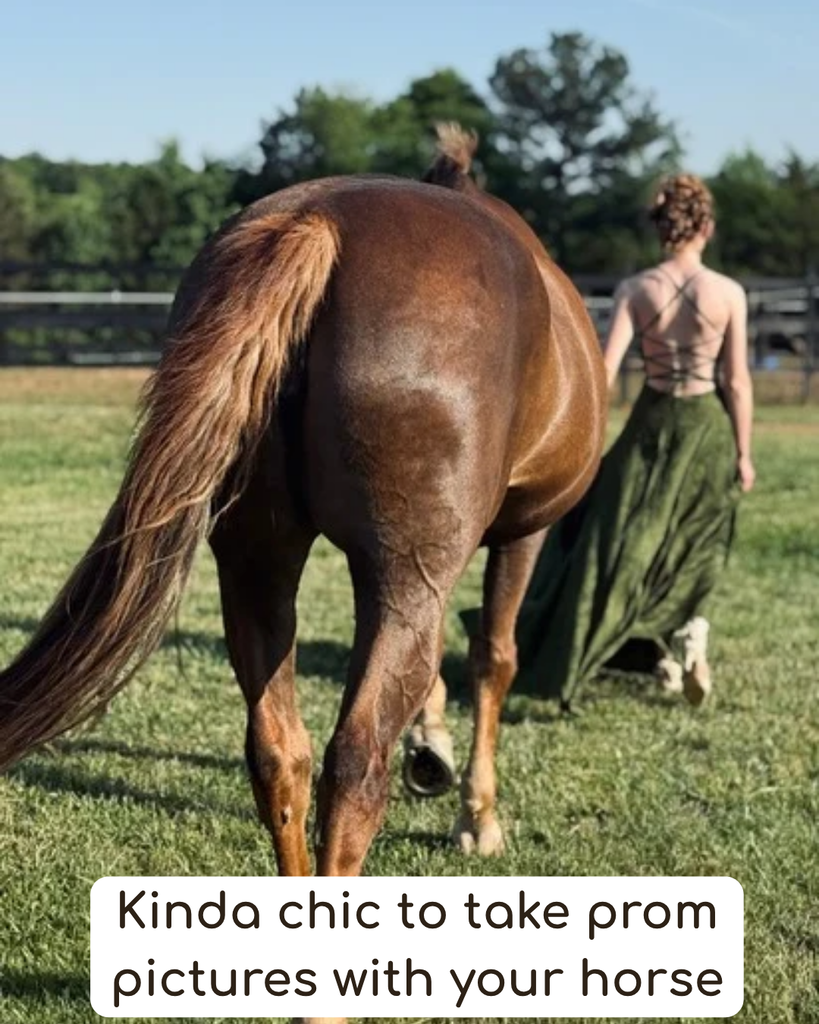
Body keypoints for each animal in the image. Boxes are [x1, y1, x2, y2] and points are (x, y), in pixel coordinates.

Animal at [0, 124, 606, 879]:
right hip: (400, 573)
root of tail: (318, 226)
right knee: (354, 765)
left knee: (278, 754)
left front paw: (431, 746)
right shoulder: (516, 536)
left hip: (257, 563)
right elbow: (493, 658)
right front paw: (477, 815)